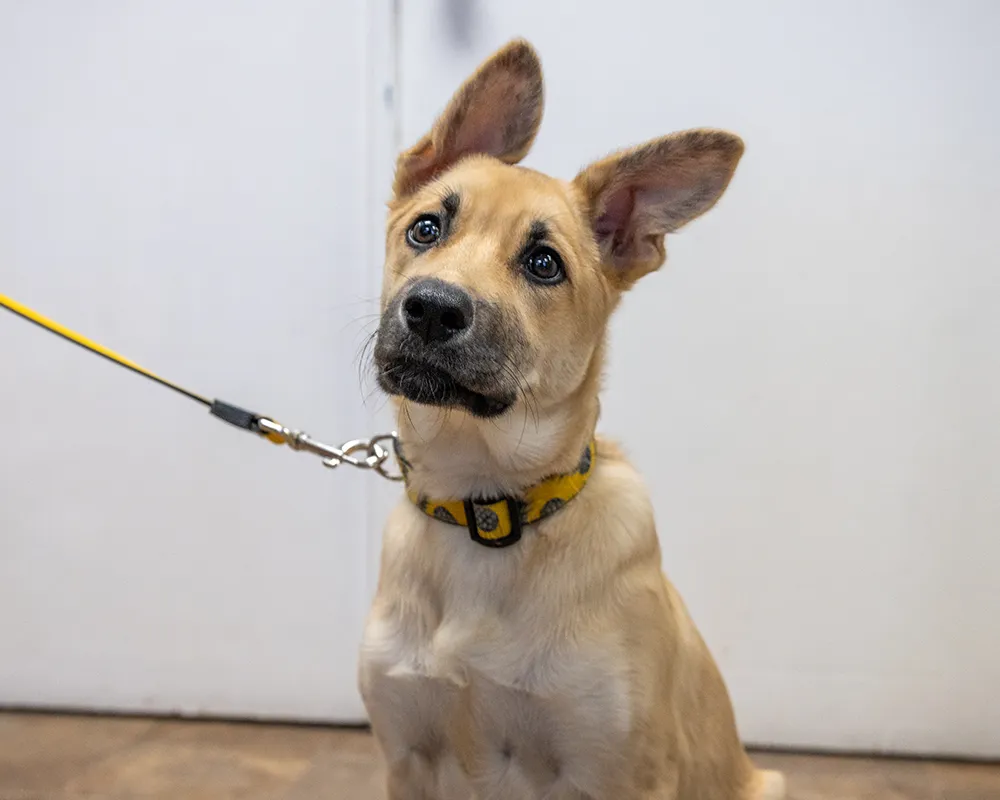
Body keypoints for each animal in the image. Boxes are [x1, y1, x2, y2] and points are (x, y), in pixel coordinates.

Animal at [360, 39, 780, 800]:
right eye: (427, 228)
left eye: (543, 263)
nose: (432, 309)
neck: (484, 501)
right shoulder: (405, 756)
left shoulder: (622, 772)